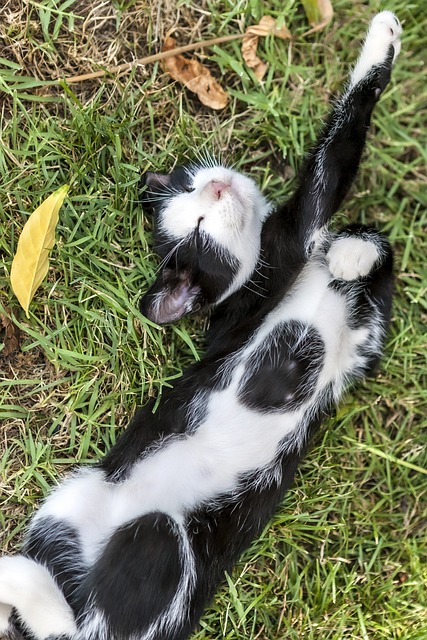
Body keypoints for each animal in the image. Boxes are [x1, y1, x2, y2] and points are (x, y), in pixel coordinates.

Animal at [0, 11, 402, 640]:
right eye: (197, 229)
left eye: (193, 192)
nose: (216, 186)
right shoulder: (277, 267)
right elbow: (330, 165)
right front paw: (383, 38)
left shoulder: (366, 343)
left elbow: (382, 254)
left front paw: (353, 253)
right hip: (151, 531)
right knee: (88, 610)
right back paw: (21, 579)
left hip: (72, 502)